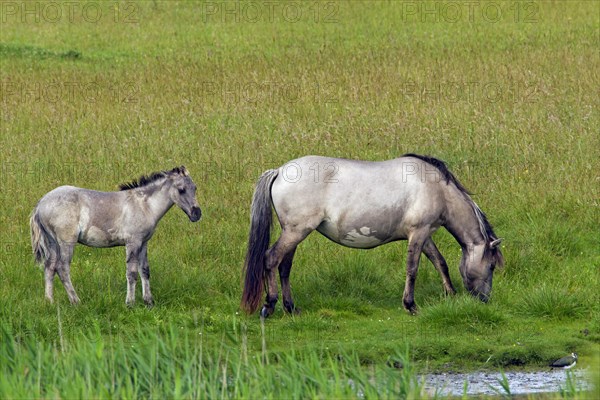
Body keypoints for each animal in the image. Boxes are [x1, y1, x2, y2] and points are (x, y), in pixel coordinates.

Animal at [29, 166, 202, 306]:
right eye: (181, 189)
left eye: (195, 188)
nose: (197, 214)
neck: (144, 206)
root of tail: (41, 203)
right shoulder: (133, 242)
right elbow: (132, 273)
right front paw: (130, 303)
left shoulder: (143, 242)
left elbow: (145, 270)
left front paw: (149, 301)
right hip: (66, 242)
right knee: (62, 268)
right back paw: (76, 301)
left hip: (53, 244)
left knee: (49, 268)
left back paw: (50, 302)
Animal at [241, 155, 504, 318]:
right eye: (491, 266)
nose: (485, 299)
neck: (436, 187)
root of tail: (279, 171)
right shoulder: (418, 233)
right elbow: (413, 269)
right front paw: (411, 305)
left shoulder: (425, 235)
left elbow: (440, 263)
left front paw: (450, 295)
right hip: (296, 232)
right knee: (271, 259)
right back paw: (269, 305)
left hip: (294, 233)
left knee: (284, 267)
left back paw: (291, 307)